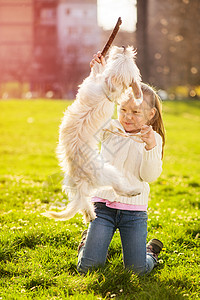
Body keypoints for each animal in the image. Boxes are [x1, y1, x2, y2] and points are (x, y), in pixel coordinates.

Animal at [44, 45, 143, 223]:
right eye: (122, 57)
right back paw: (91, 214)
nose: (124, 47)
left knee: (114, 191)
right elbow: (97, 73)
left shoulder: (92, 83)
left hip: (106, 174)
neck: (107, 89)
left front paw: (99, 65)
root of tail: (81, 178)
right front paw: (98, 60)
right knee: (86, 200)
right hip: (85, 182)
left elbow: (96, 74)